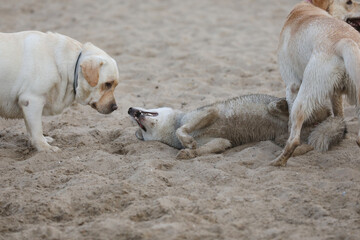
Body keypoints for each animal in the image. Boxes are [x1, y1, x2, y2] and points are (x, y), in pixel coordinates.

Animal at [128, 94, 344, 159]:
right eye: (143, 129)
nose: (130, 110)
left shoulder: (210, 111)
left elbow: (183, 131)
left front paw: (188, 142)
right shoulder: (222, 141)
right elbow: (202, 149)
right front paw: (190, 152)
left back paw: (281, 104)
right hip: (281, 138)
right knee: (304, 145)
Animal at [272, 0, 360, 166]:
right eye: (349, 2)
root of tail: (344, 40)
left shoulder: (292, 85)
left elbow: (290, 123)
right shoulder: (335, 92)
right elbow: (339, 114)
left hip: (306, 93)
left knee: (294, 138)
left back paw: (278, 161)